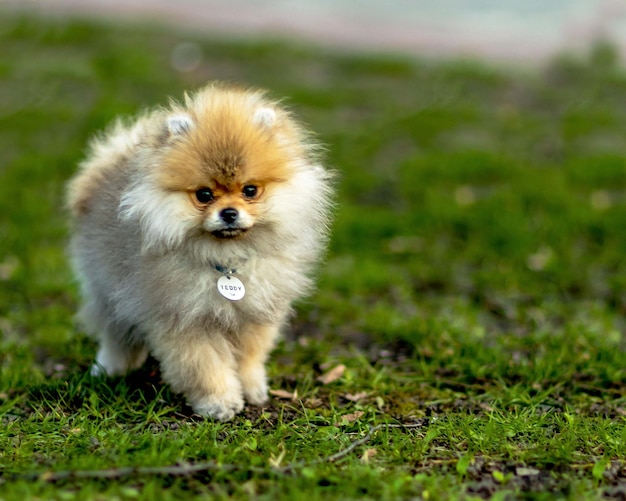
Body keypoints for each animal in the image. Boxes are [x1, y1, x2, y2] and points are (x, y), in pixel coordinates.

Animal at [66, 82, 334, 418]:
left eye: (250, 190)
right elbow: (205, 366)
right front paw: (219, 402)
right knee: (116, 334)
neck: (226, 261)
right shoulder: (185, 319)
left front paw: (252, 389)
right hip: (107, 287)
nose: (229, 213)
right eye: (204, 195)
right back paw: (109, 369)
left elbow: (249, 358)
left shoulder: (253, 315)